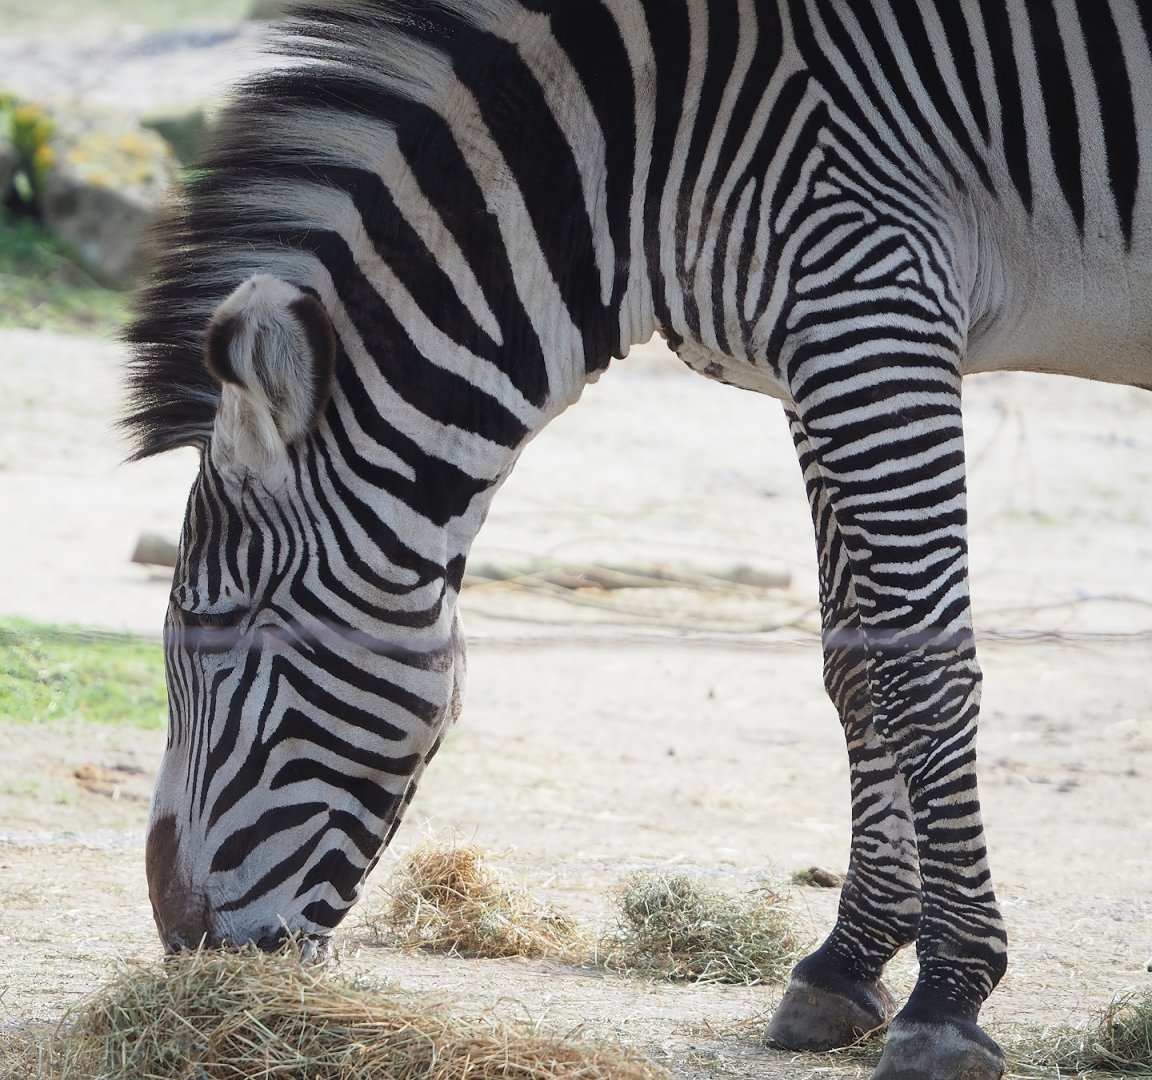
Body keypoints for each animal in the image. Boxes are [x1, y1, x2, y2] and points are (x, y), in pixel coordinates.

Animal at [122, 2, 1152, 1078]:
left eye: (224, 634)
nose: (184, 945)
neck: (645, 146)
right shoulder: (817, 349)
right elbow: (855, 661)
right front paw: (847, 964)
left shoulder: (872, 300)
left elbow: (920, 673)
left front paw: (949, 996)